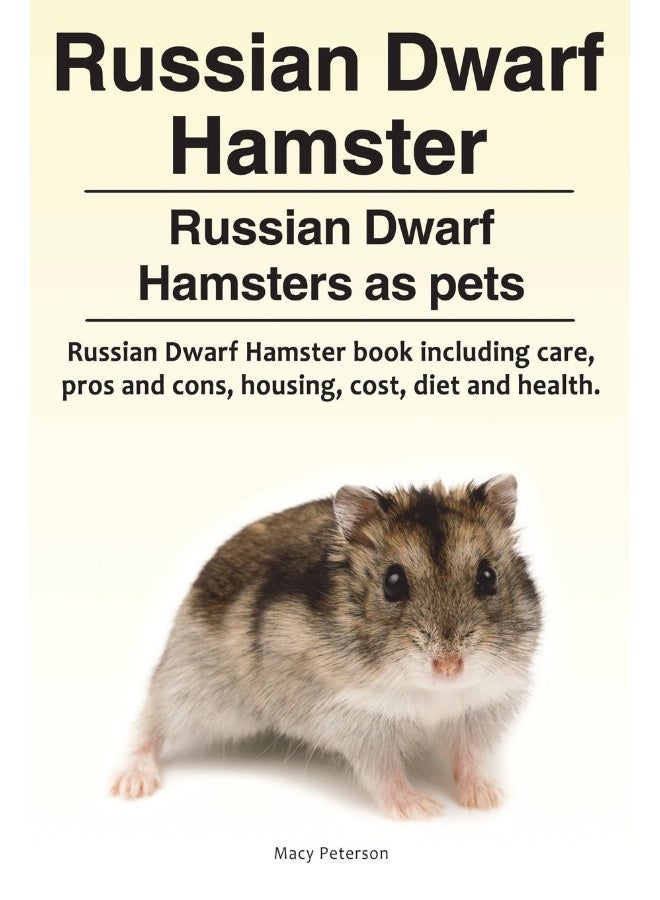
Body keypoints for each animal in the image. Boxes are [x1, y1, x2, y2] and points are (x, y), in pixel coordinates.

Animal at [111, 474, 541, 818]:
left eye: (488, 577)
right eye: (393, 583)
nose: (449, 667)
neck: (434, 694)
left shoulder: (480, 708)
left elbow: (471, 756)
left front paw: (487, 800)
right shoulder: (360, 719)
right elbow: (383, 772)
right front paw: (422, 810)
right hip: (196, 687)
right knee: (150, 720)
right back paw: (130, 786)